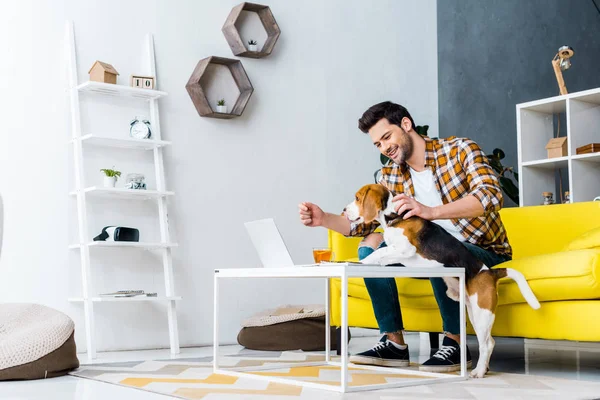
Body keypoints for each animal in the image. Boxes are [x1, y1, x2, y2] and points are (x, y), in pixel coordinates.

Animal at [344, 184, 540, 378]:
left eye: (358, 198)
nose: (344, 210)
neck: (393, 215)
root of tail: (489, 272)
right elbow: (382, 253)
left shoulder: (405, 248)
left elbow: (379, 251)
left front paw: (361, 262)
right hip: (474, 311)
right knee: (489, 341)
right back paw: (483, 368)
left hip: (482, 312)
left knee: (487, 344)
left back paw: (478, 371)